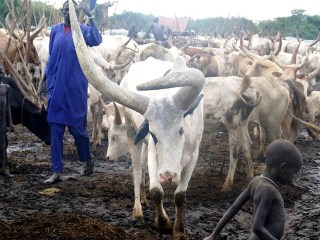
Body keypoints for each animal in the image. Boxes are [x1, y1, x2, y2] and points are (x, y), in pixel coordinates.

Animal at [70, 0, 205, 238]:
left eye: (181, 130)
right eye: (154, 132)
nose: (168, 175)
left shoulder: (194, 155)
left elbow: (180, 195)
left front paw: (179, 229)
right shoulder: (151, 147)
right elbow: (156, 190)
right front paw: (163, 222)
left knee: (141, 168)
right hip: (134, 135)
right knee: (136, 168)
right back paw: (138, 207)